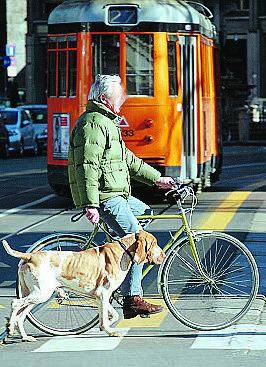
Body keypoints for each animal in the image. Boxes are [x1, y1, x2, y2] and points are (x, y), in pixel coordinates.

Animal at [1, 231, 164, 344]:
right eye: (154, 243)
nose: (163, 255)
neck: (123, 251)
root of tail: (30, 256)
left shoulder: (101, 297)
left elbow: (111, 315)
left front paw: (105, 326)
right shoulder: (103, 294)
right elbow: (107, 317)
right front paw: (108, 330)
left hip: (35, 296)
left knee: (21, 315)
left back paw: (24, 336)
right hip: (41, 294)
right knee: (15, 304)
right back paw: (9, 328)